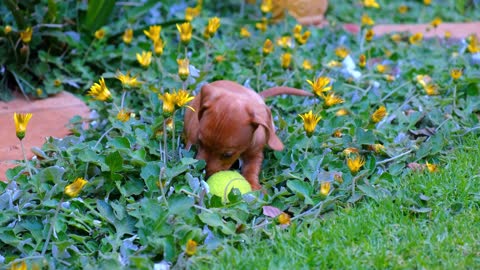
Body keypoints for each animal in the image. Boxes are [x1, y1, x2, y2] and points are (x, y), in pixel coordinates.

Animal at [184, 80, 312, 190]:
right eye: (200, 142)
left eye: (228, 155)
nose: (202, 173)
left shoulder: (256, 154)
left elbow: (251, 169)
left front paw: (253, 186)